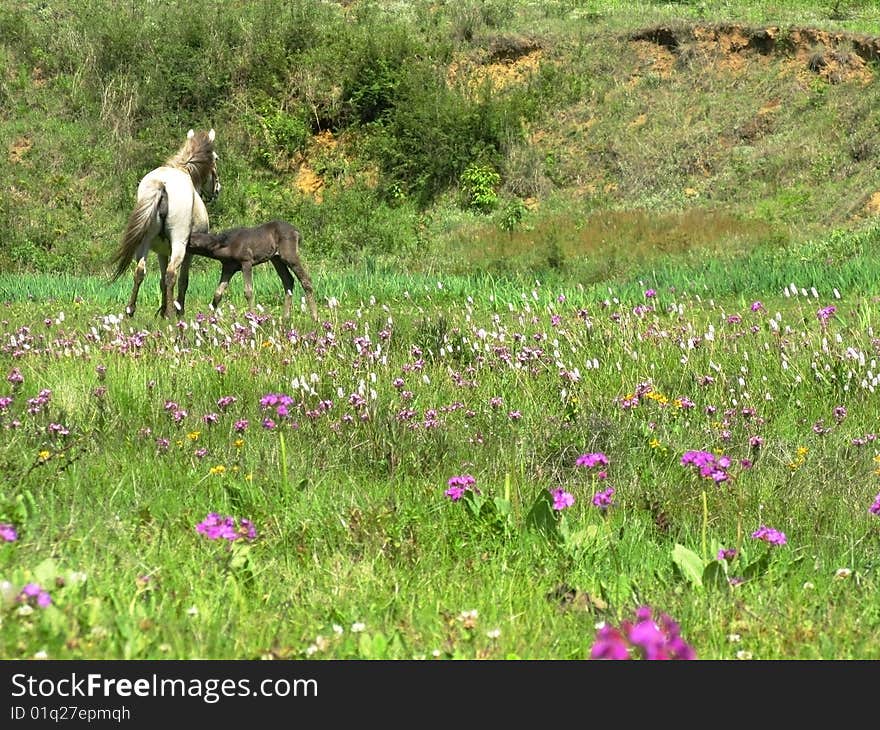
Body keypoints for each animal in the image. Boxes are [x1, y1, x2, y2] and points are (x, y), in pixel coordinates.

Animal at [111, 129, 220, 318]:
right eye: (216, 158)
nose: (217, 190)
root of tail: (162, 184)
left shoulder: (161, 251)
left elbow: (161, 281)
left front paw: (161, 311)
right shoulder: (188, 253)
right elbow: (182, 280)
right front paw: (177, 310)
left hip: (144, 243)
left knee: (140, 271)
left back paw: (131, 310)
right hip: (178, 244)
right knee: (171, 275)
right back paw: (171, 314)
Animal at [186, 218, 320, 318]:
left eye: (189, 242)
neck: (226, 245)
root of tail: (298, 232)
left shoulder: (246, 262)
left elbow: (248, 292)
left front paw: (252, 318)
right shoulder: (228, 267)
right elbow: (218, 293)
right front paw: (209, 320)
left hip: (289, 255)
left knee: (306, 279)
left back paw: (315, 317)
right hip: (276, 258)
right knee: (288, 280)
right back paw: (285, 318)